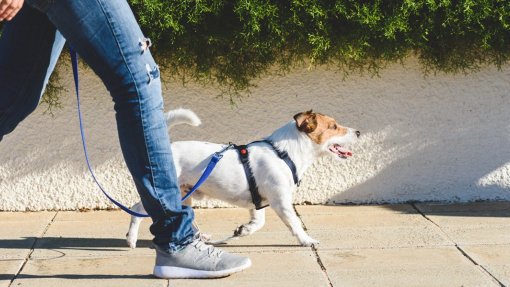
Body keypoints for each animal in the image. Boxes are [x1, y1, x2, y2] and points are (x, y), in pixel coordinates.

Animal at [126, 109, 358, 249]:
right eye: (333, 126)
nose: (358, 132)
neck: (284, 153)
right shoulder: (281, 202)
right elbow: (295, 223)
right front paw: (306, 240)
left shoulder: (258, 202)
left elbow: (258, 223)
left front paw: (243, 230)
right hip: (165, 193)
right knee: (137, 209)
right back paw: (131, 239)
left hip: (185, 195)